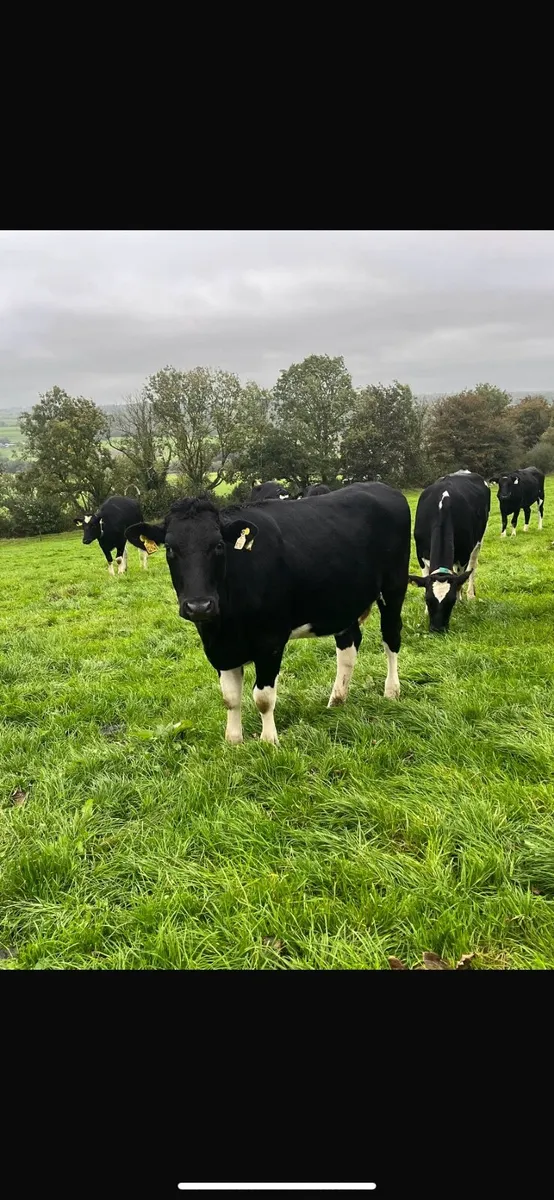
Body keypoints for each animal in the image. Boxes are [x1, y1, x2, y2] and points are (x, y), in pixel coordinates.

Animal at [126, 483, 411, 745]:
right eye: (170, 549)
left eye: (218, 546)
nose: (199, 606)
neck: (226, 622)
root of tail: (382, 487)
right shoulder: (218, 647)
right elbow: (230, 698)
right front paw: (233, 741)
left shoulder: (270, 641)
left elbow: (262, 698)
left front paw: (268, 741)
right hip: (343, 601)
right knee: (348, 646)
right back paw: (337, 700)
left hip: (394, 588)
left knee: (391, 637)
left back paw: (391, 691)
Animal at [409, 472, 490, 633]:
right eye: (427, 599)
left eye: (451, 601)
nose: (437, 629)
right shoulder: (420, 554)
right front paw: (425, 612)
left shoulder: (463, 556)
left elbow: (460, 579)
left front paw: (459, 602)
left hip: (479, 540)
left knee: (473, 566)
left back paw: (470, 595)